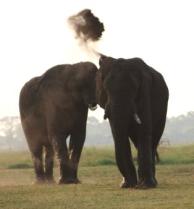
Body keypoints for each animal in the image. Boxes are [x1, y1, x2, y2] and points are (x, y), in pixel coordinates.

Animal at [96, 54, 169, 189]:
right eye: (106, 88)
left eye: (135, 89)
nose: (125, 183)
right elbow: (118, 134)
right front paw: (126, 185)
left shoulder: (145, 91)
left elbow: (144, 130)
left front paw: (144, 186)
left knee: (153, 140)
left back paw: (152, 182)